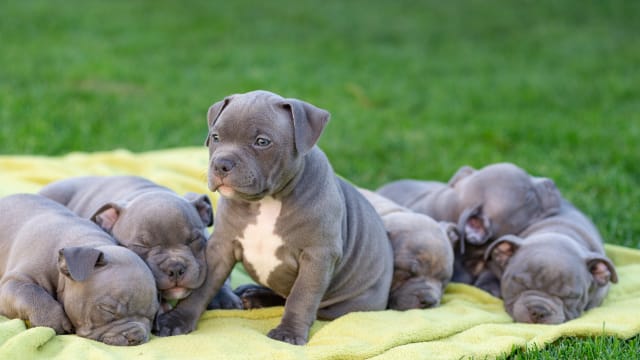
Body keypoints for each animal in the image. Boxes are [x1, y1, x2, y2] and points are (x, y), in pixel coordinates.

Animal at [0, 194, 159, 346]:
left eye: (152, 317)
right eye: (107, 310)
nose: (135, 337)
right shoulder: (13, 282)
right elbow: (31, 292)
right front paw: (52, 320)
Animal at [155, 88, 396, 344]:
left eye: (262, 142)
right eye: (216, 137)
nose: (221, 164)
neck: (266, 201)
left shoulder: (318, 256)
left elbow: (301, 296)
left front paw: (288, 333)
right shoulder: (220, 246)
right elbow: (202, 287)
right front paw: (177, 319)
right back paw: (254, 295)